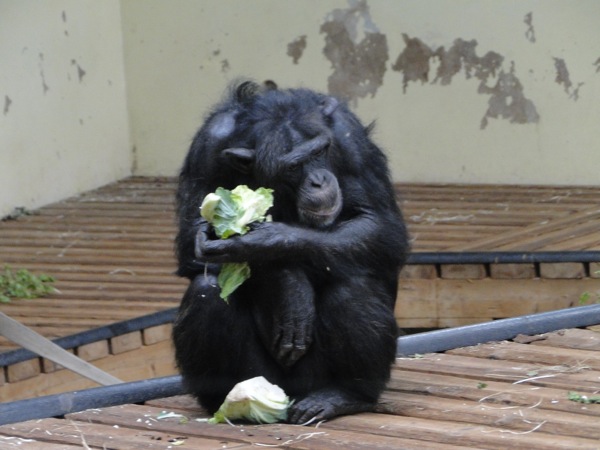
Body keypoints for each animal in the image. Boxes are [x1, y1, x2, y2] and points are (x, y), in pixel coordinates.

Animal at [171, 81, 410, 426]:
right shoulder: (207, 144)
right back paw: (227, 399)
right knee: (208, 290)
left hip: (314, 377)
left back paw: (344, 395)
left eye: (320, 151)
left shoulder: (350, 138)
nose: (319, 180)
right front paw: (286, 281)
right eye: (295, 165)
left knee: (353, 286)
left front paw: (266, 244)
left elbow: (377, 224)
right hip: (264, 374)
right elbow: (193, 237)